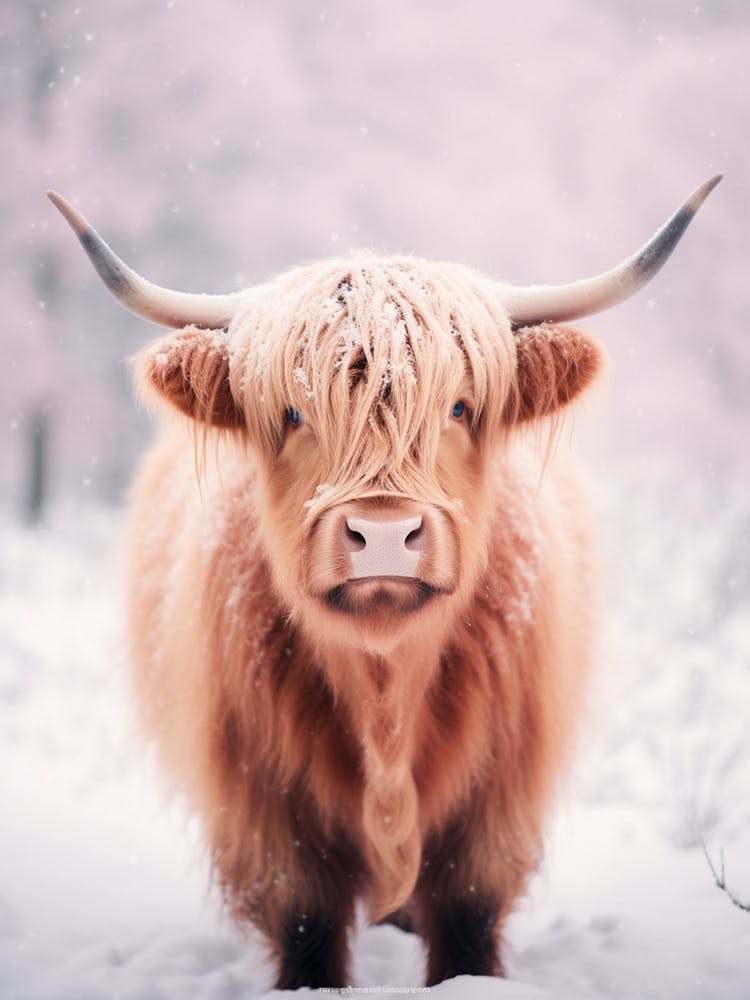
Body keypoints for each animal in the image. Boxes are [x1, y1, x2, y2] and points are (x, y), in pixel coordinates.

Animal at [49, 176, 720, 989]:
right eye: (294, 412)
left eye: (460, 407)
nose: (385, 536)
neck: (386, 689)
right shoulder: (263, 805)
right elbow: (307, 921)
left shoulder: (496, 801)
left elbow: (465, 917)